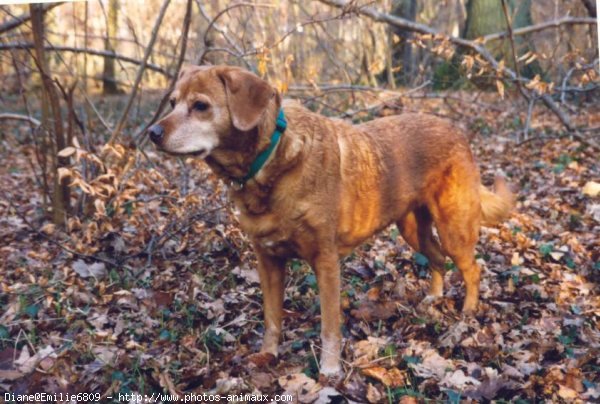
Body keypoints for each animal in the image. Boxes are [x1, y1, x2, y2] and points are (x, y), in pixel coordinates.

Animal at [146, 64, 516, 376]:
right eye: (173, 102)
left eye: (201, 106)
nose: (152, 132)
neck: (271, 160)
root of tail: (457, 131)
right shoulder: (268, 260)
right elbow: (272, 318)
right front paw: (268, 354)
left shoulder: (326, 261)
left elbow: (329, 326)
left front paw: (329, 370)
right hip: (412, 228)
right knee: (438, 259)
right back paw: (432, 300)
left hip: (454, 226)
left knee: (472, 268)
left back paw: (467, 314)